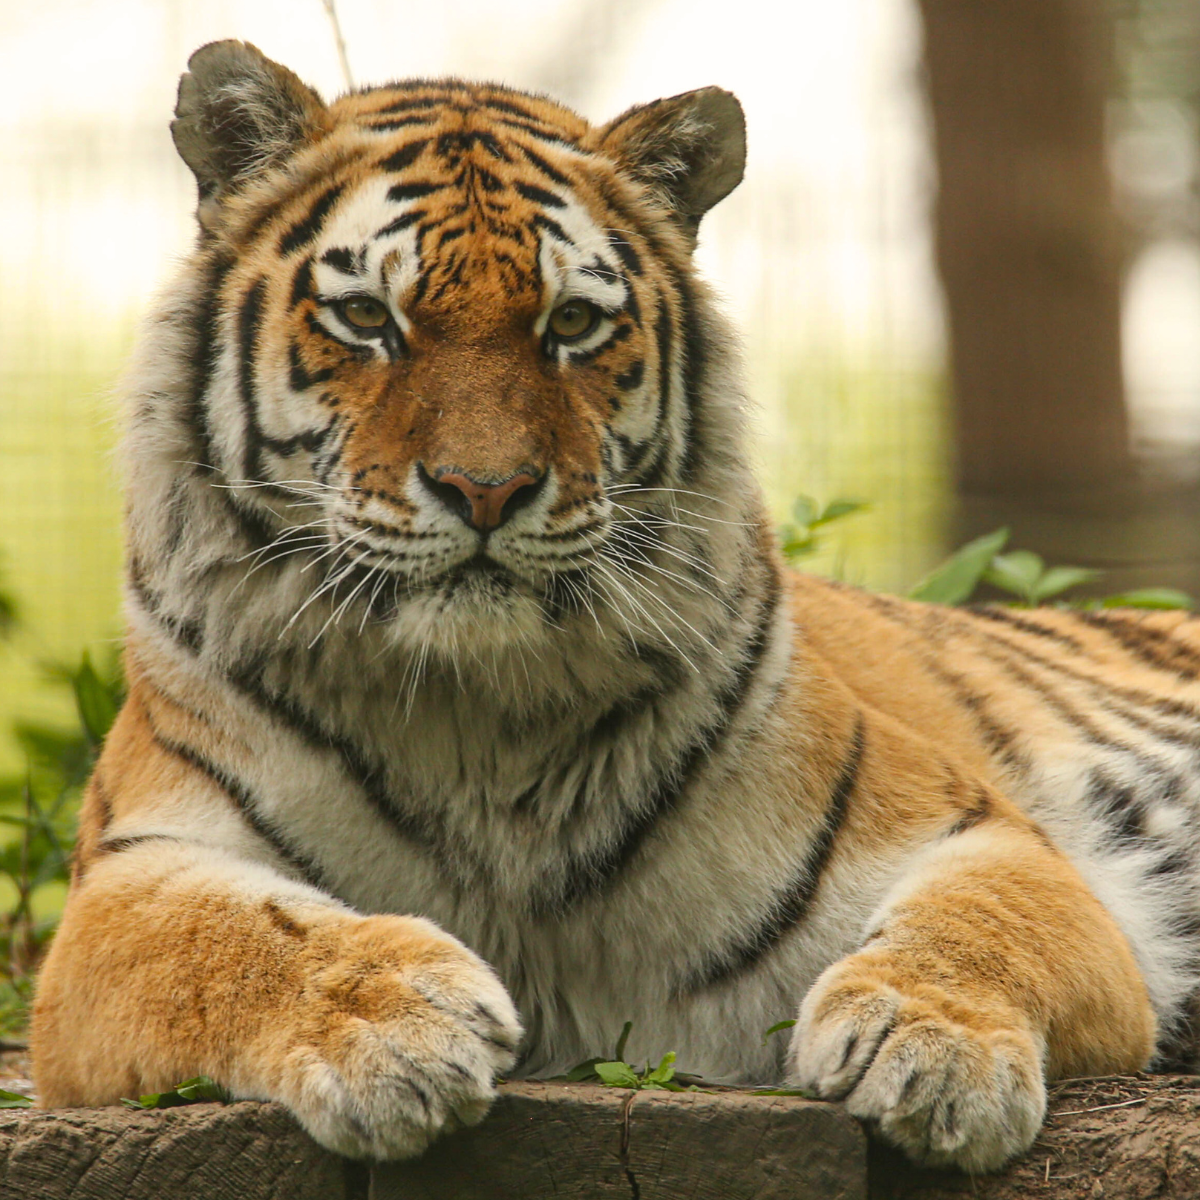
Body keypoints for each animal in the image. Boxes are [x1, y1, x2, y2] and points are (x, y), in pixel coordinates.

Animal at [29, 38, 1200, 1175]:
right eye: (367, 317)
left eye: (574, 324)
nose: (487, 488)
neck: (479, 719)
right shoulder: (122, 887)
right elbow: (243, 942)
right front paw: (393, 1025)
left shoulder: (981, 830)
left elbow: (982, 921)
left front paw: (934, 1049)